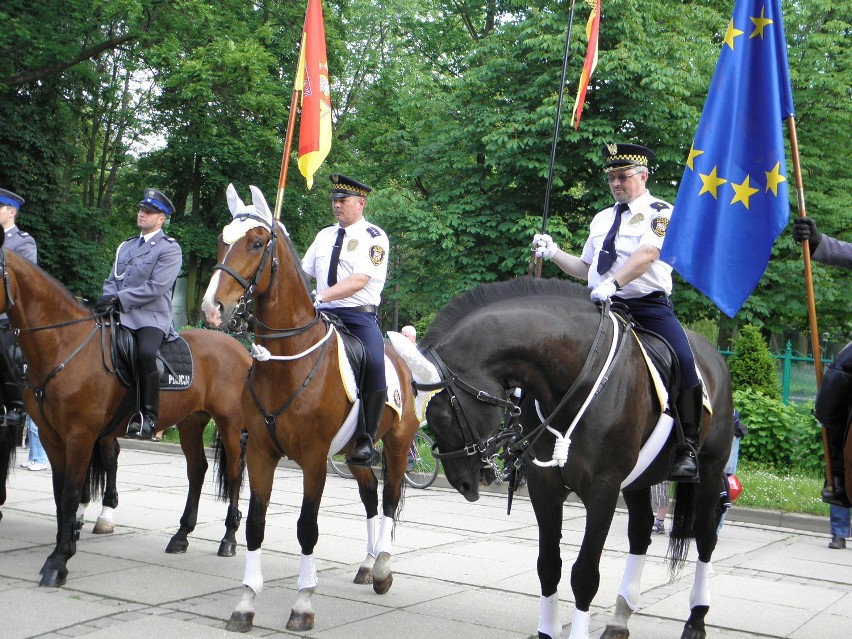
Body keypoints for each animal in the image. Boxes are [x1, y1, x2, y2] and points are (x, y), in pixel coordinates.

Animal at [0, 238, 251, 588]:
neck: (65, 345)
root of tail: (240, 348)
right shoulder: (52, 435)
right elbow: (59, 494)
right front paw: (61, 549)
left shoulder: (80, 435)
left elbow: (70, 493)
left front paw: (58, 563)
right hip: (190, 422)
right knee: (197, 470)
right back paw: (181, 535)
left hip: (229, 423)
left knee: (233, 472)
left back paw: (228, 538)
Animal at [204, 186, 422, 636]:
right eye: (221, 239)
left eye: (256, 243)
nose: (212, 307)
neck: (287, 360)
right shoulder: (261, 452)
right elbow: (255, 524)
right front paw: (246, 602)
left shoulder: (313, 459)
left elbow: (307, 528)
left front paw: (303, 603)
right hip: (355, 453)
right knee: (370, 497)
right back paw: (367, 564)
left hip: (396, 445)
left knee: (389, 499)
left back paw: (382, 568)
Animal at [392, 278, 732, 639]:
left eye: (442, 414)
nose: (463, 483)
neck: (576, 377)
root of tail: (713, 355)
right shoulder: (545, 487)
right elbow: (548, 566)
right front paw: (547, 630)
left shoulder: (603, 489)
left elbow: (584, 575)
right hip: (638, 480)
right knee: (640, 531)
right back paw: (620, 616)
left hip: (710, 471)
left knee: (706, 536)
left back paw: (696, 619)